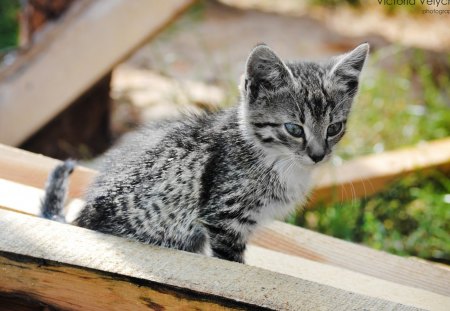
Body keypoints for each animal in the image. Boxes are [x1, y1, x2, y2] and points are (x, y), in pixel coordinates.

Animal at [41, 43, 370, 264]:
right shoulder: (224, 217)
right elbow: (230, 261)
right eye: (294, 128)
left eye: (334, 128)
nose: (318, 155)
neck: (273, 158)